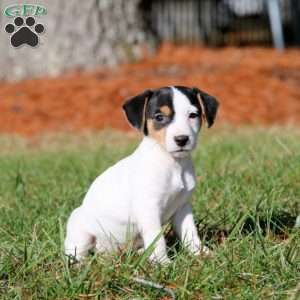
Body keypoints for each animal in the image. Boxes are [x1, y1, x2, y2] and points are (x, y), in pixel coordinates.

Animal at [64, 85, 219, 264]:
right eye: (159, 117)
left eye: (193, 115)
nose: (182, 139)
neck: (172, 163)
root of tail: (109, 253)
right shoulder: (149, 208)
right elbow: (157, 239)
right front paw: (163, 263)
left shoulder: (183, 207)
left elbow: (190, 234)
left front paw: (201, 254)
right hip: (80, 229)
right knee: (75, 252)